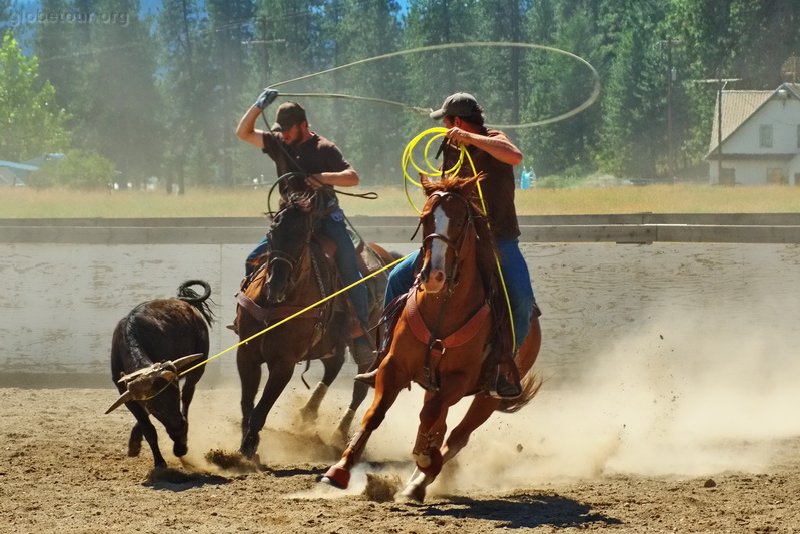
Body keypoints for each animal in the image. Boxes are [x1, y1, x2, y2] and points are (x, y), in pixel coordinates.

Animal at [233, 191, 392, 458]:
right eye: (272, 233)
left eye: (303, 237)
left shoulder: (284, 363)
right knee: (333, 365)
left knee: (360, 386)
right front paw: (244, 443)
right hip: (332, 341)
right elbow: (247, 403)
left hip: (366, 343)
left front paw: (248, 447)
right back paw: (308, 412)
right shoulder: (246, 354)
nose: (276, 285)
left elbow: (262, 408)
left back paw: (339, 433)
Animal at [322, 176, 540, 502]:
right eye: (425, 218)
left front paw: (426, 460)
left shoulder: (459, 379)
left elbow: (431, 419)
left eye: (461, 221)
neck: (443, 308)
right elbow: (375, 415)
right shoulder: (393, 366)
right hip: (434, 384)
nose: (434, 275)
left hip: (488, 396)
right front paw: (339, 469)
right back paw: (415, 480)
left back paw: (419, 480)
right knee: (438, 425)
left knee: (457, 435)